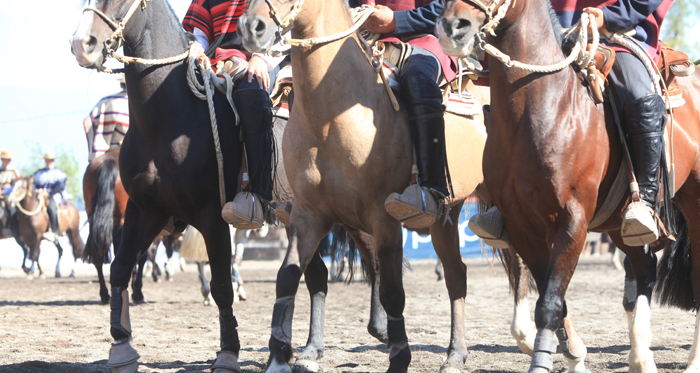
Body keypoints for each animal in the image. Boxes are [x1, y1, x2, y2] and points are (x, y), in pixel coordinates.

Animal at [235, 1, 536, 370]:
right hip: (445, 215)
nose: (252, 27)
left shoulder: (383, 218)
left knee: (519, 260)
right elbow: (289, 278)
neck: (331, 117)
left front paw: (398, 356)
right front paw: (281, 356)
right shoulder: (307, 216)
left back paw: (529, 335)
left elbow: (392, 291)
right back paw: (455, 354)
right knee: (456, 274)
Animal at [440, 1, 700, 370]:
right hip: (620, 227)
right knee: (645, 269)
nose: (452, 26)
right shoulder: (523, 228)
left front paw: (543, 361)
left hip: (693, 203)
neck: (544, 109)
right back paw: (640, 356)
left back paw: (692, 360)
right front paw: (574, 354)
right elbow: (553, 298)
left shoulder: (572, 223)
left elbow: (549, 304)